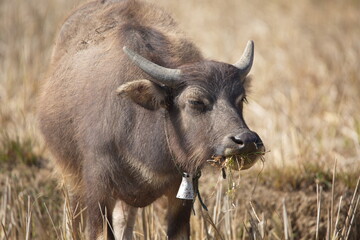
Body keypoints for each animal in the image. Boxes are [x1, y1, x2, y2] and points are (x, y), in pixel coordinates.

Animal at [38, 0, 264, 239]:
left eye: (241, 98)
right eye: (195, 101)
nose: (247, 141)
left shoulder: (181, 195)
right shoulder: (98, 192)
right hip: (70, 177)